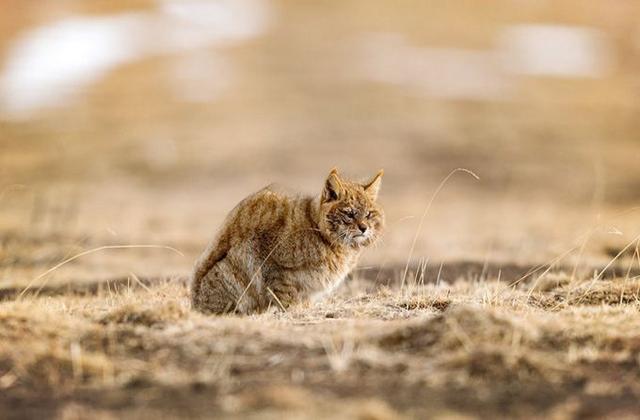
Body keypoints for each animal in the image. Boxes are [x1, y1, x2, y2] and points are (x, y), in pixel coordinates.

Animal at [188, 169, 382, 314]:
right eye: (349, 214)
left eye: (369, 214)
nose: (364, 228)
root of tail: (194, 303)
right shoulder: (274, 267)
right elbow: (287, 297)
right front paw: (294, 312)